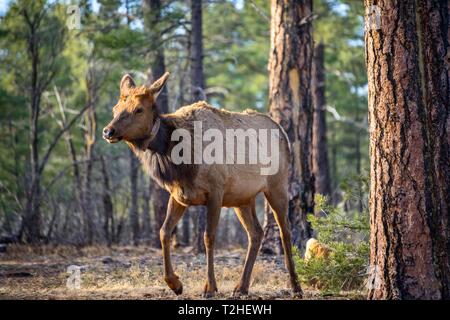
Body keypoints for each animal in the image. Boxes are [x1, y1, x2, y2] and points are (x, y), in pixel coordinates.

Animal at [103, 72, 302, 298]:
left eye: (139, 109)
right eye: (115, 108)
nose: (108, 131)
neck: (180, 161)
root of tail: (283, 133)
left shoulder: (216, 192)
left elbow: (208, 237)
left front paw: (210, 287)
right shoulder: (179, 195)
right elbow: (164, 232)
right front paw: (175, 283)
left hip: (277, 185)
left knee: (285, 231)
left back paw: (296, 286)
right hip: (243, 198)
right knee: (256, 233)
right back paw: (241, 287)